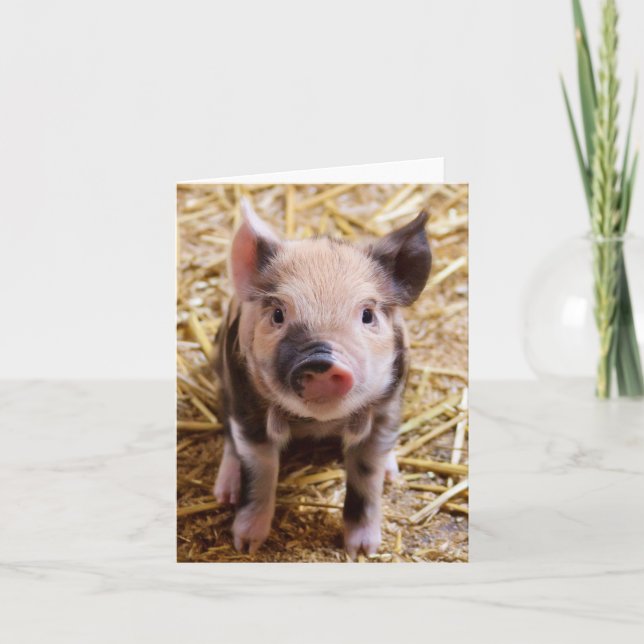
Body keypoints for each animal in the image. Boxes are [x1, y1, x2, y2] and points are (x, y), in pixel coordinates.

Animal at [212, 197, 431, 559]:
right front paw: (246, 545)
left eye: (367, 315)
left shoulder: (386, 409)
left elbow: (367, 475)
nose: (321, 361)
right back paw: (224, 494)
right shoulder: (247, 406)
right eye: (278, 314)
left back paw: (392, 474)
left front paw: (363, 552)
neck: (318, 423)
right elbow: (259, 471)